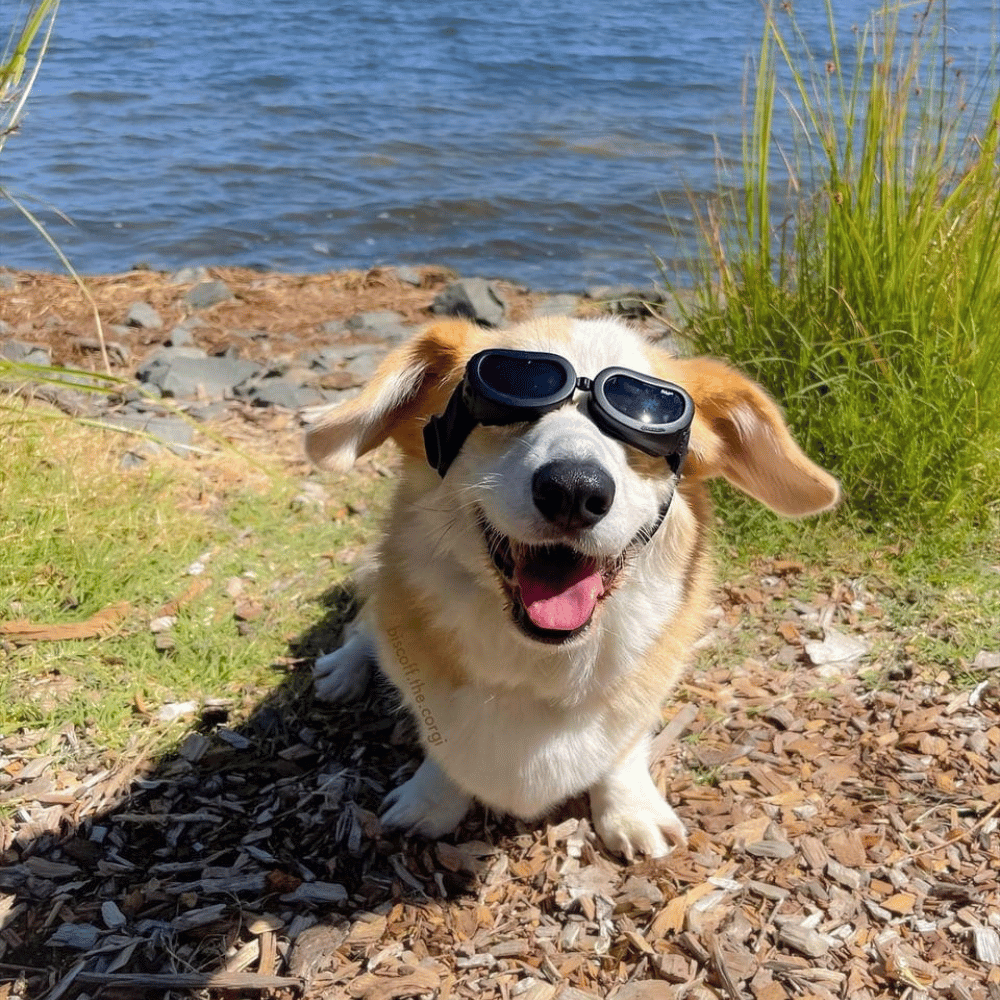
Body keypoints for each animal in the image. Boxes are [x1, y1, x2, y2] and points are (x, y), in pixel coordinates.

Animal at [302, 314, 836, 860]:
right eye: (508, 393)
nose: (573, 491)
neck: (543, 663)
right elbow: (441, 750)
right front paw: (430, 800)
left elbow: (624, 748)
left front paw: (630, 810)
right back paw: (343, 668)